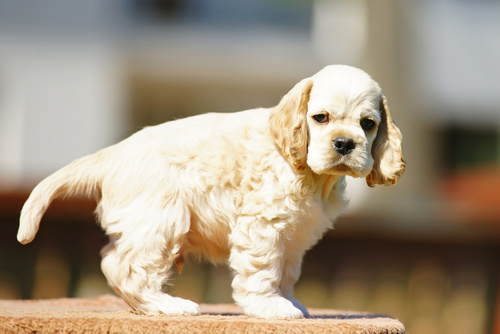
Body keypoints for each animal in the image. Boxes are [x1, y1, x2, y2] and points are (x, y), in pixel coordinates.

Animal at [17, 64, 404, 318]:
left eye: (367, 124)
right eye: (320, 118)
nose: (344, 144)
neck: (310, 175)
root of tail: (112, 153)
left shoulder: (295, 233)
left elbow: (286, 272)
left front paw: (290, 302)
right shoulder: (262, 223)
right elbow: (263, 270)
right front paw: (271, 307)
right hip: (161, 220)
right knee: (124, 267)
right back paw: (169, 306)